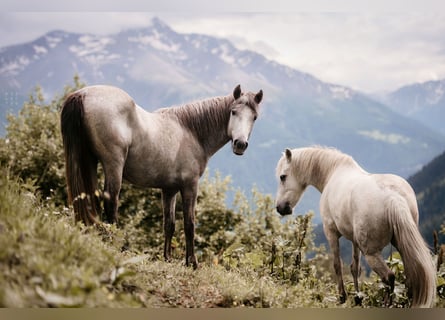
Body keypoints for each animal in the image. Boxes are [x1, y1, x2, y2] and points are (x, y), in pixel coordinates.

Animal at [62, 84, 264, 268]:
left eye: (254, 117)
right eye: (233, 112)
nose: (240, 144)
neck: (192, 132)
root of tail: (83, 94)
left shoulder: (169, 190)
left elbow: (170, 224)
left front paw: (167, 258)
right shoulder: (190, 186)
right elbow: (189, 224)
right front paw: (192, 262)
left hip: (88, 161)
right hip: (113, 166)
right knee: (111, 204)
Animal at [274, 147, 434, 308]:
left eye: (282, 177)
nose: (280, 208)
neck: (333, 172)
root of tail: (393, 197)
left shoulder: (331, 232)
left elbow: (337, 265)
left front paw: (342, 297)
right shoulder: (354, 240)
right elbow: (355, 267)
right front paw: (357, 298)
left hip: (371, 253)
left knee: (389, 277)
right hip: (401, 246)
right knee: (410, 278)